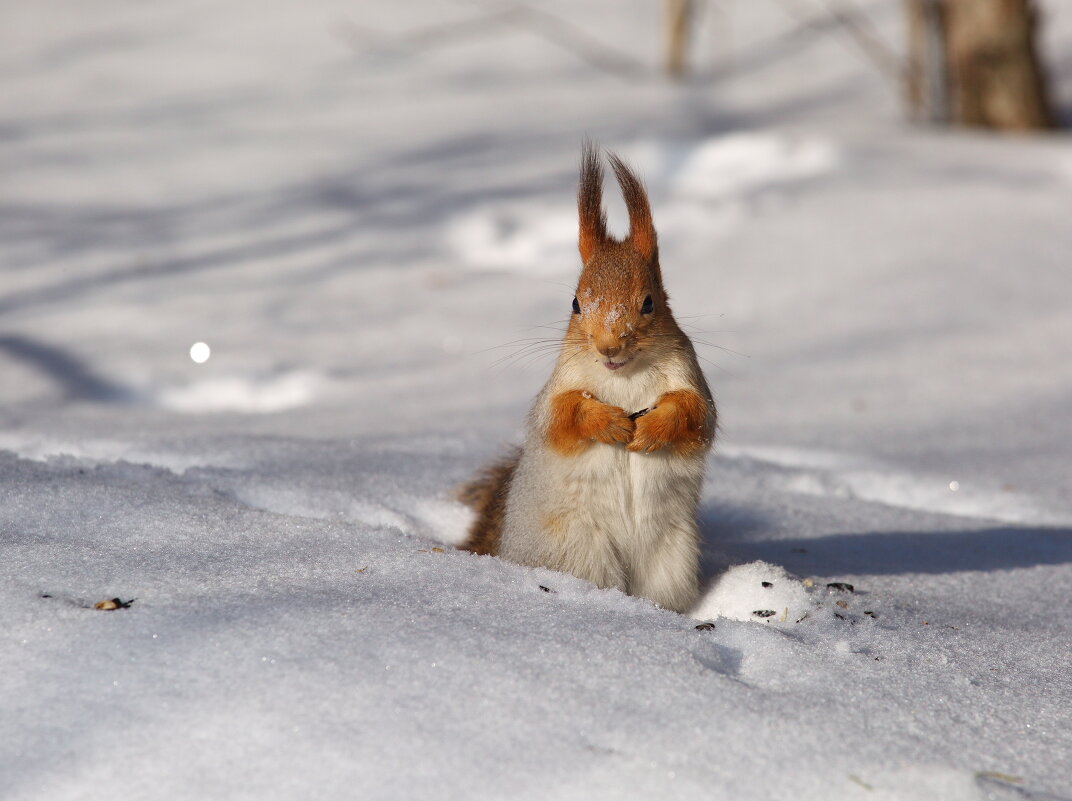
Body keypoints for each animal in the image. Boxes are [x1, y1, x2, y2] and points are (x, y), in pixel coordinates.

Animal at [458, 142, 716, 613]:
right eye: (576, 304)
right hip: (579, 551)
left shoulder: (691, 379)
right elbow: (561, 417)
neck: (625, 376)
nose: (608, 347)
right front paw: (608, 423)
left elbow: (695, 417)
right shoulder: (558, 389)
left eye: (649, 302)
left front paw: (652, 429)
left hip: (669, 561)